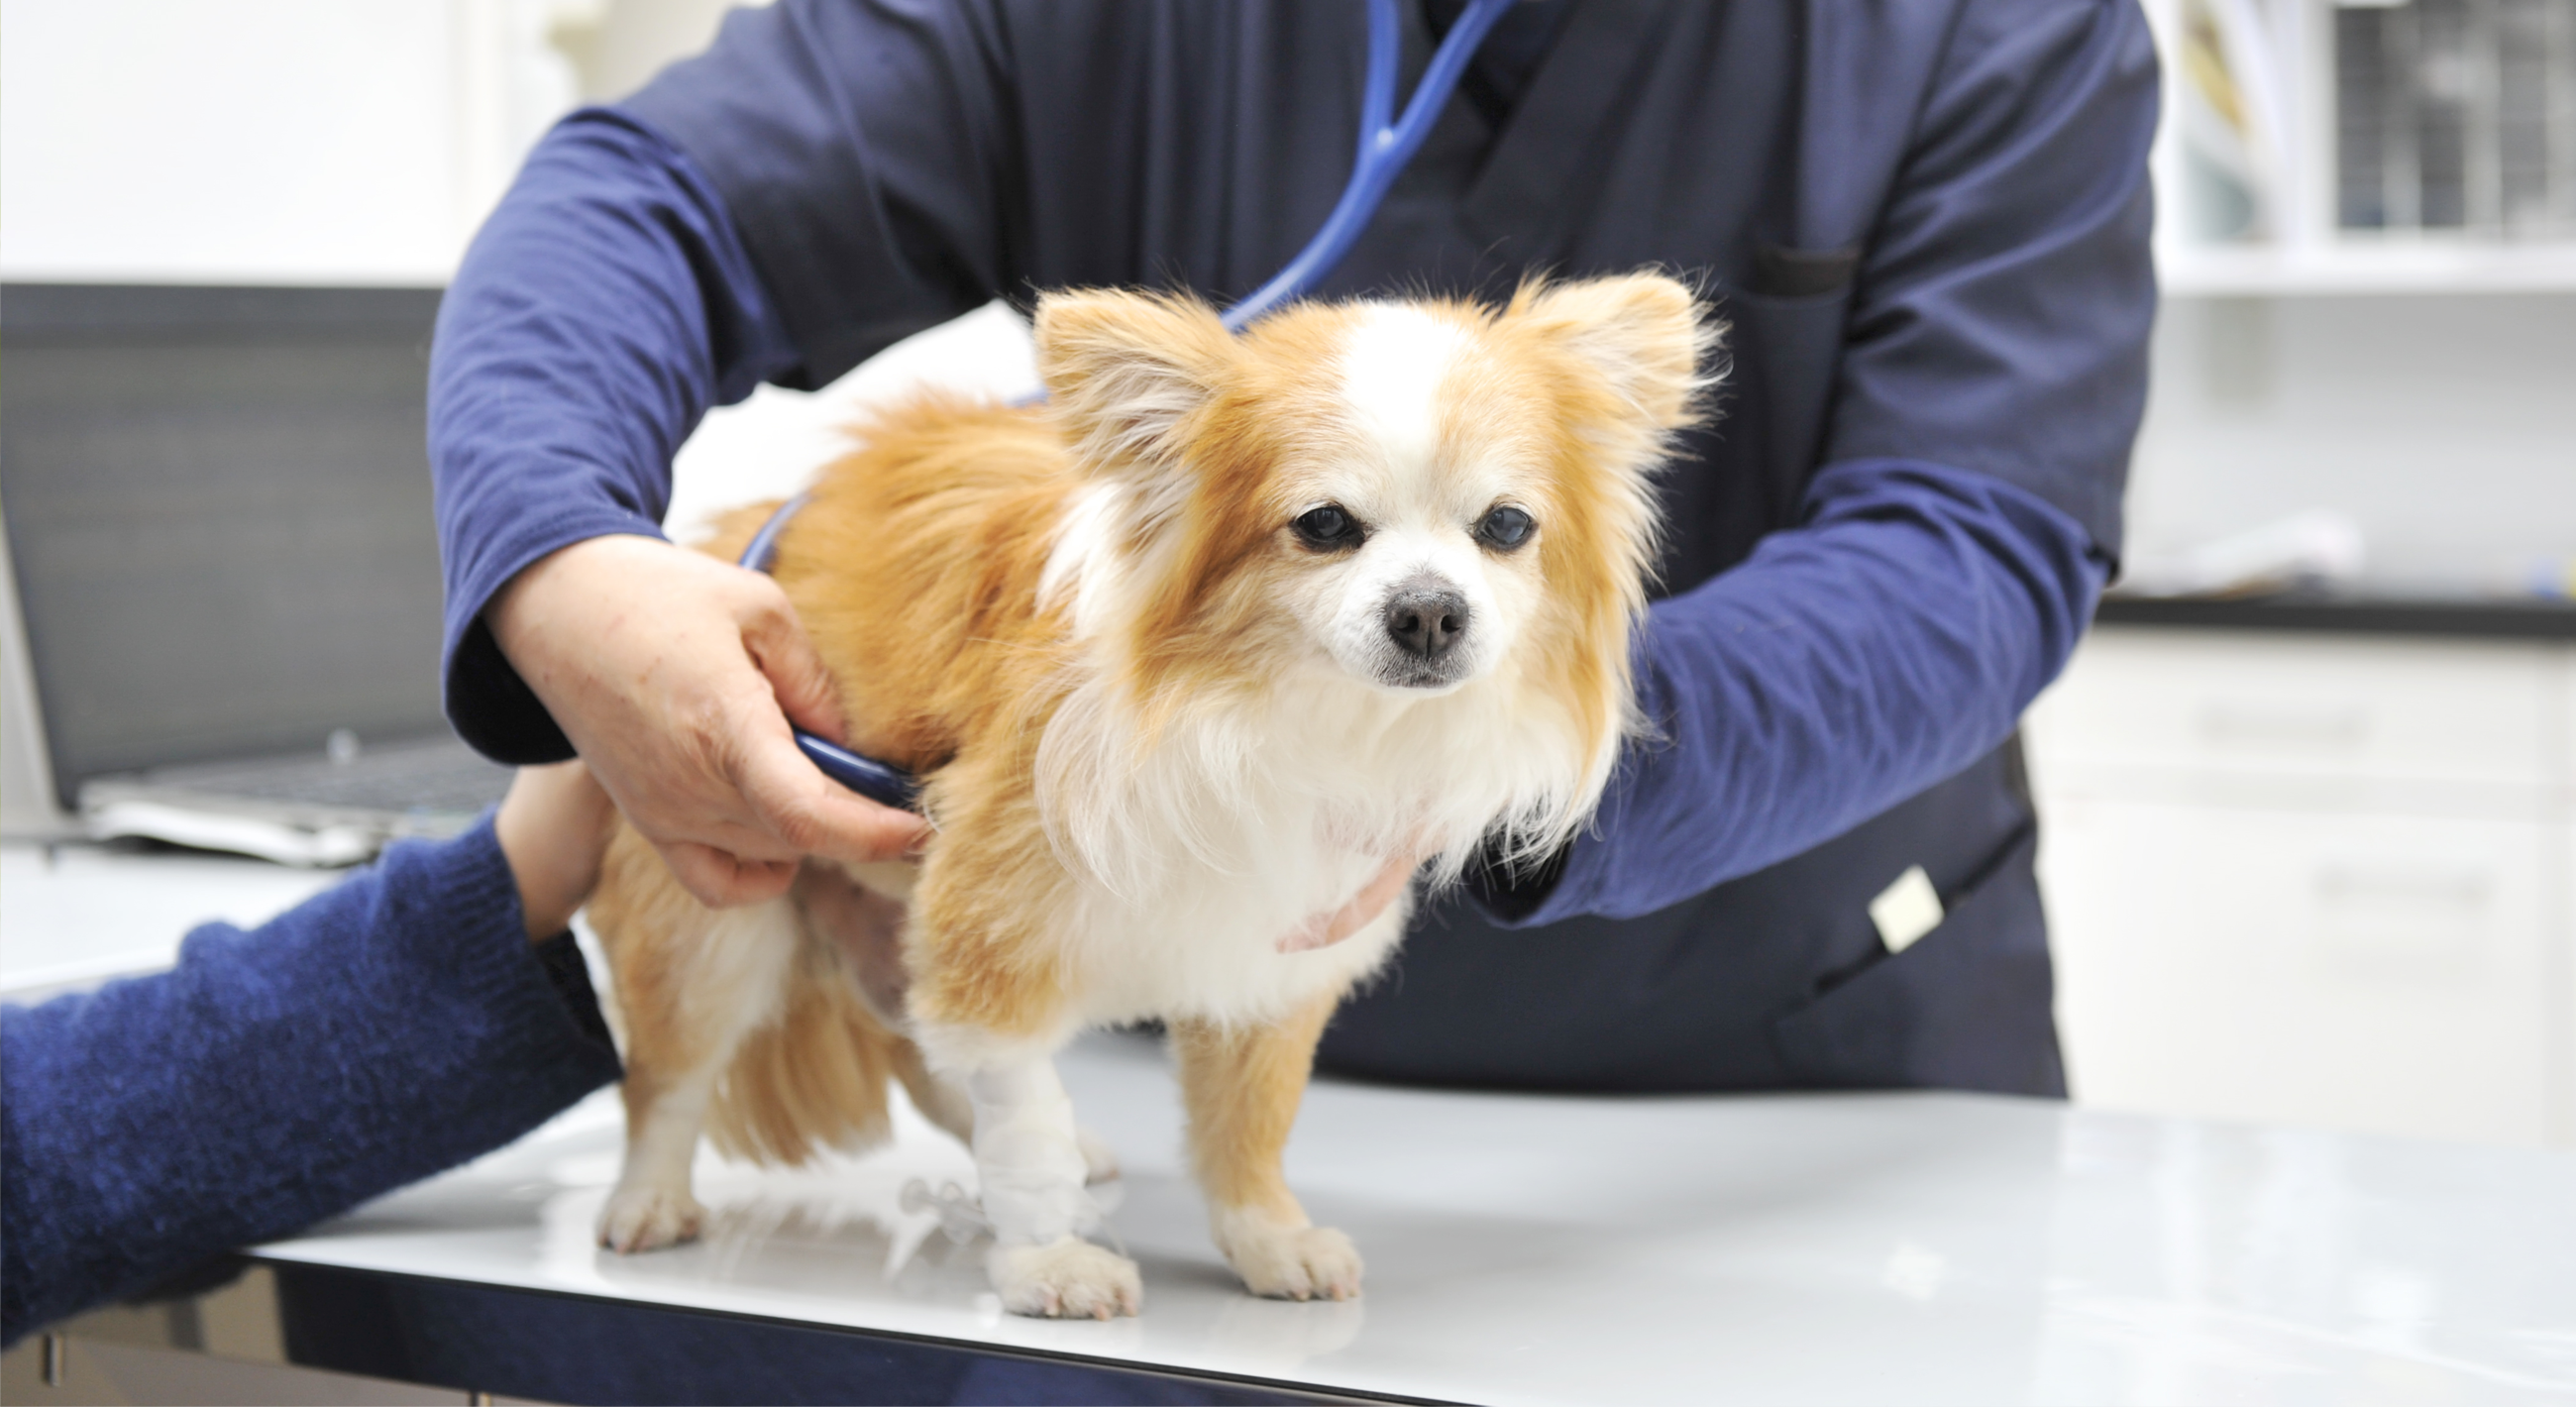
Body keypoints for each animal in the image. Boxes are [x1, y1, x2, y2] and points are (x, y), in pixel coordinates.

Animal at [585, 272, 1710, 1314]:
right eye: (1324, 526)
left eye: (1507, 526)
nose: (1430, 610)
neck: (1281, 716)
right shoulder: (992, 925)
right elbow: (1020, 1110)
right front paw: (1046, 1262)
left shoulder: (1276, 950)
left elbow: (1248, 1119)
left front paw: (1266, 1240)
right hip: (716, 920)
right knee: (669, 1079)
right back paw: (648, 1199)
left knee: (925, 1062)